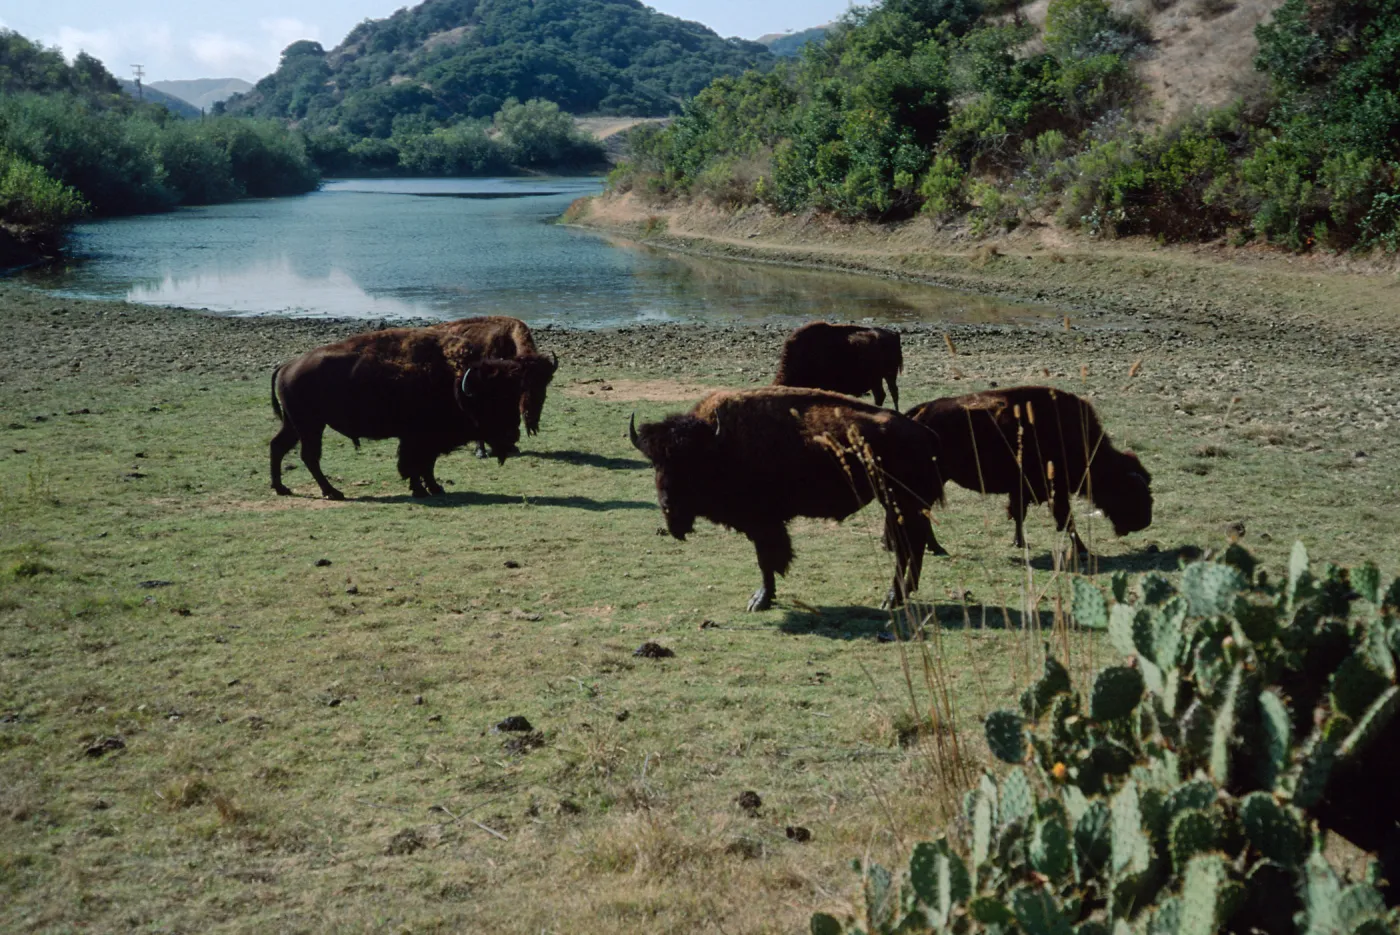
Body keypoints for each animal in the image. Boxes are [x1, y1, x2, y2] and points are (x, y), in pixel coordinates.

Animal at [269, 327, 530, 500]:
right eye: (492, 400)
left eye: (513, 396)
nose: (513, 435)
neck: (456, 382)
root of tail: (287, 366)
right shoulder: (417, 439)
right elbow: (414, 464)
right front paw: (421, 490)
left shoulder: (427, 440)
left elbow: (427, 465)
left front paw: (436, 488)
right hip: (310, 426)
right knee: (309, 456)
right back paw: (333, 492)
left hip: (294, 424)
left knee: (278, 446)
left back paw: (282, 488)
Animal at [630, 387, 944, 611]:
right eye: (655, 463)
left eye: (693, 464)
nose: (669, 506)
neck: (720, 445)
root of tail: (923, 433)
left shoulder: (764, 524)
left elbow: (767, 560)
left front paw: (759, 601)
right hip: (901, 505)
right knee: (912, 546)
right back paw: (902, 595)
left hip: (900, 502)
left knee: (907, 547)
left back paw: (892, 598)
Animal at [906, 386, 1152, 555]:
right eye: (1130, 492)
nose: (1145, 522)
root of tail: (922, 411)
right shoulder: (1055, 490)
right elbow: (1066, 520)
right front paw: (1083, 550)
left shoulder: (1023, 490)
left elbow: (1020, 515)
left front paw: (1020, 542)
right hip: (934, 481)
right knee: (923, 510)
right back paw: (937, 547)